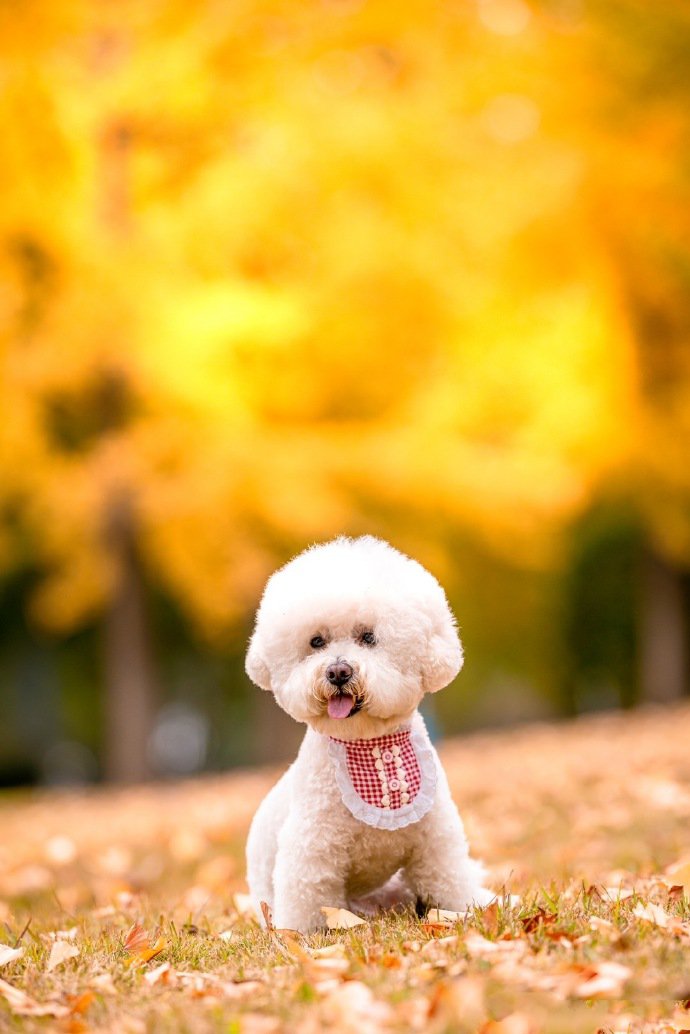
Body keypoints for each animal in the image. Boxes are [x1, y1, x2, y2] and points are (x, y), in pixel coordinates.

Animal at [245, 533, 488, 930]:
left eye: (368, 637)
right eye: (316, 642)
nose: (338, 671)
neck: (370, 742)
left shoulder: (435, 839)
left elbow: (450, 879)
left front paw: (467, 909)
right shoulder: (312, 847)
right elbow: (306, 897)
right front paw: (298, 934)